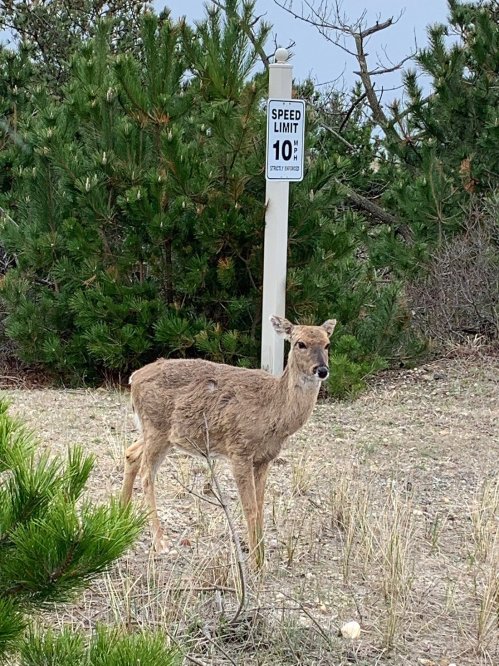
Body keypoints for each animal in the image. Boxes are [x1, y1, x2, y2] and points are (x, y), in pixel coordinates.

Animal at [121, 315, 337, 567]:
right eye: (300, 343)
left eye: (327, 344)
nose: (321, 370)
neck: (274, 411)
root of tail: (134, 378)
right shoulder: (239, 449)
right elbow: (250, 508)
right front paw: (255, 562)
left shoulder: (265, 459)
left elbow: (261, 507)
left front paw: (261, 558)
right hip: (156, 428)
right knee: (147, 473)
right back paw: (160, 543)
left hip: (157, 433)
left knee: (131, 453)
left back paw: (122, 516)